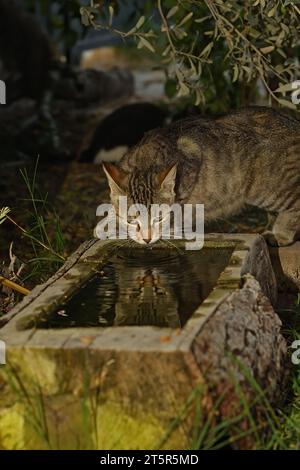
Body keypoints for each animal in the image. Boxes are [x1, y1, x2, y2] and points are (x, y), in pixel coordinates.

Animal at [101, 106, 300, 246]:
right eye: (131, 220)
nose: (147, 239)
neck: (146, 160)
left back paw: (280, 234)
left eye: (159, 218)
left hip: (268, 191)